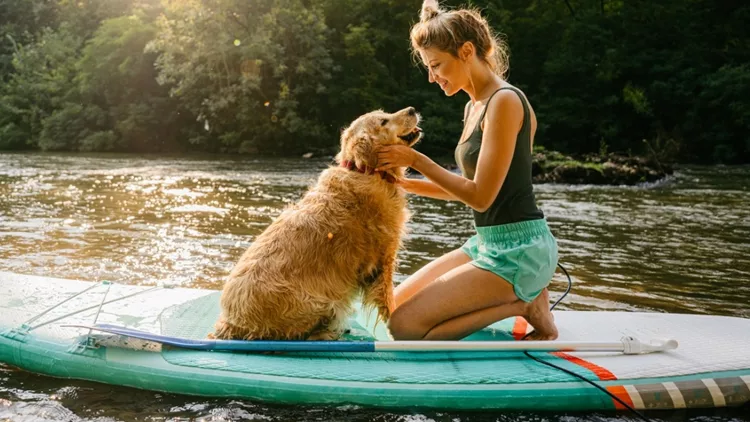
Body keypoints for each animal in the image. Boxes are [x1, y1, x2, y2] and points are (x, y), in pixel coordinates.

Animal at [213, 107, 424, 342]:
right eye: (384, 121)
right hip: (322, 301)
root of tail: (230, 324)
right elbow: (390, 303)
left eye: (385, 114)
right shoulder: (384, 259)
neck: (365, 170)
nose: (412, 109)